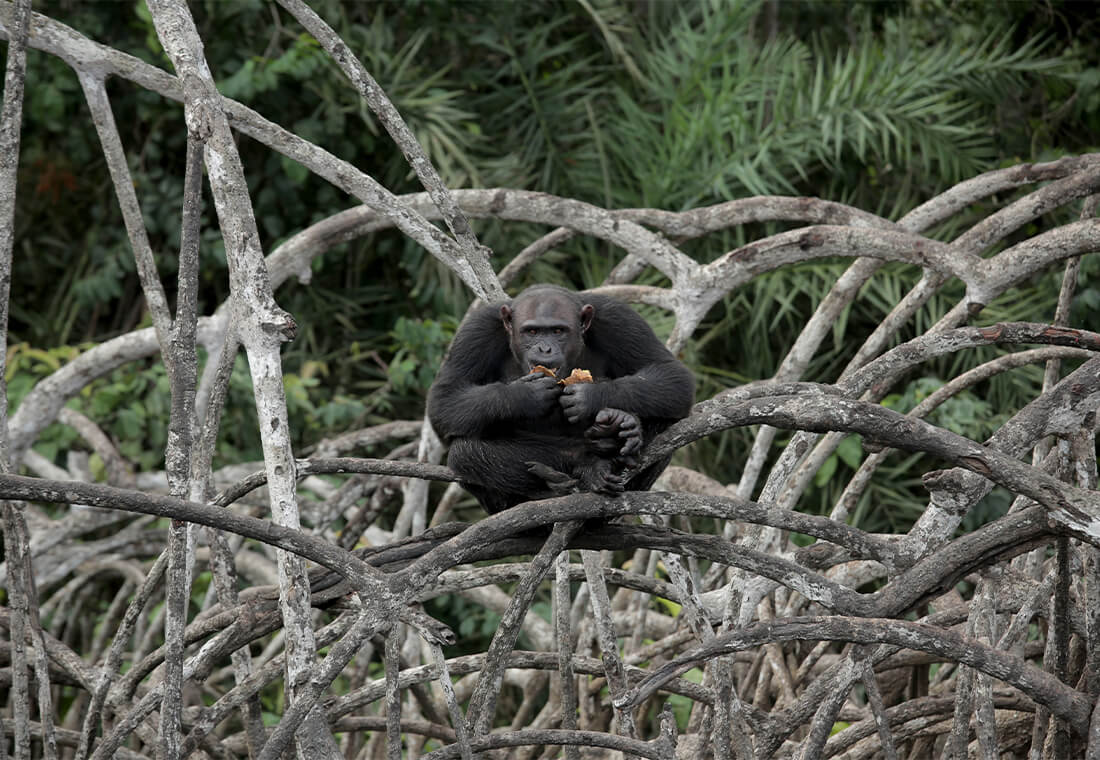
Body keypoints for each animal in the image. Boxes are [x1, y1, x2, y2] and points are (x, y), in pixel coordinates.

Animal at [424, 285, 690, 516]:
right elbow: (445, 399)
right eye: (532, 332)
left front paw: (589, 397)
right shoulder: (477, 331)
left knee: (667, 418)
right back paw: (584, 464)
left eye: (558, 331)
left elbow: (671, 375)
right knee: (466, 451)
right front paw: (525, 396)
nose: (545, 348)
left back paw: (621, 429)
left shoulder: (619, 318)